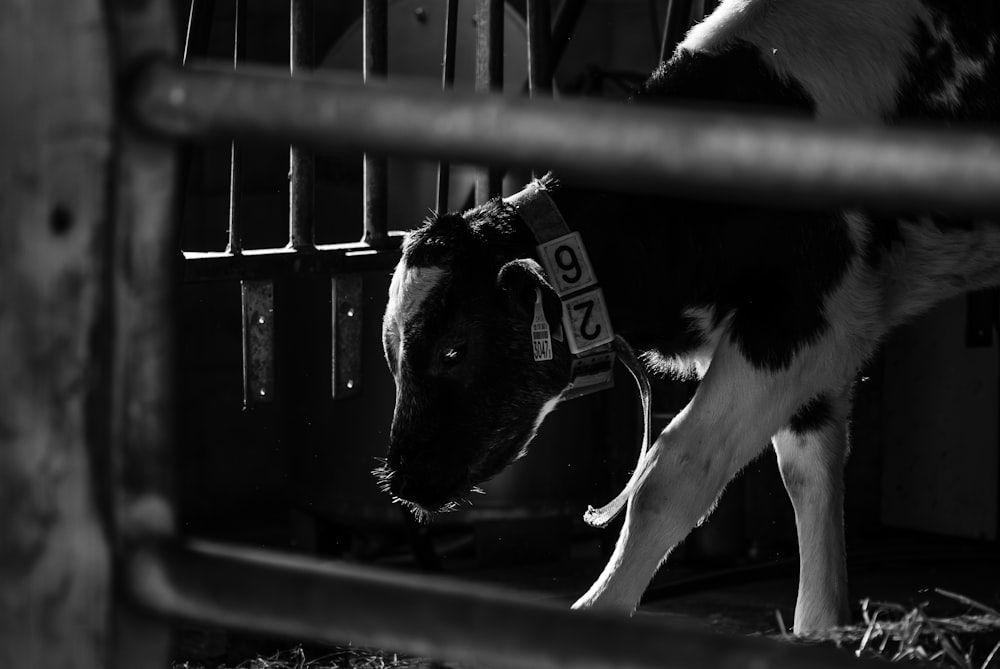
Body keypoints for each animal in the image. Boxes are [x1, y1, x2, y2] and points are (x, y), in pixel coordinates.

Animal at [376, 0, 1000, 632]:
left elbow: (672, 473)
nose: (401, 476)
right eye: (392, 359)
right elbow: (809, 473)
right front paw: (820, 631)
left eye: (452, 350)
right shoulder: (812, 336)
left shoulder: (801, 319)